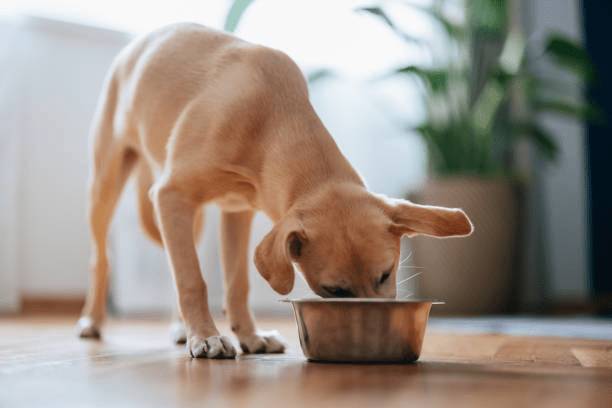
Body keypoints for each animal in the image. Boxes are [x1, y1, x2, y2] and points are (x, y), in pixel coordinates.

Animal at [76, 23, 474, 358]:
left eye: (385, 274)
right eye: (335, 291)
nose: (377, 328)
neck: (271, 118)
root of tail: (139, 42)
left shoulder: (236, 212)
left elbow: (236, 283)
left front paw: (249, 337)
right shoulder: (171, 195)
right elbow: (192, 279)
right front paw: (206, 336)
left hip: (191, 219)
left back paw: (179, 328)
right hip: (106, 185)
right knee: (101, 260)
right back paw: (93, 321)